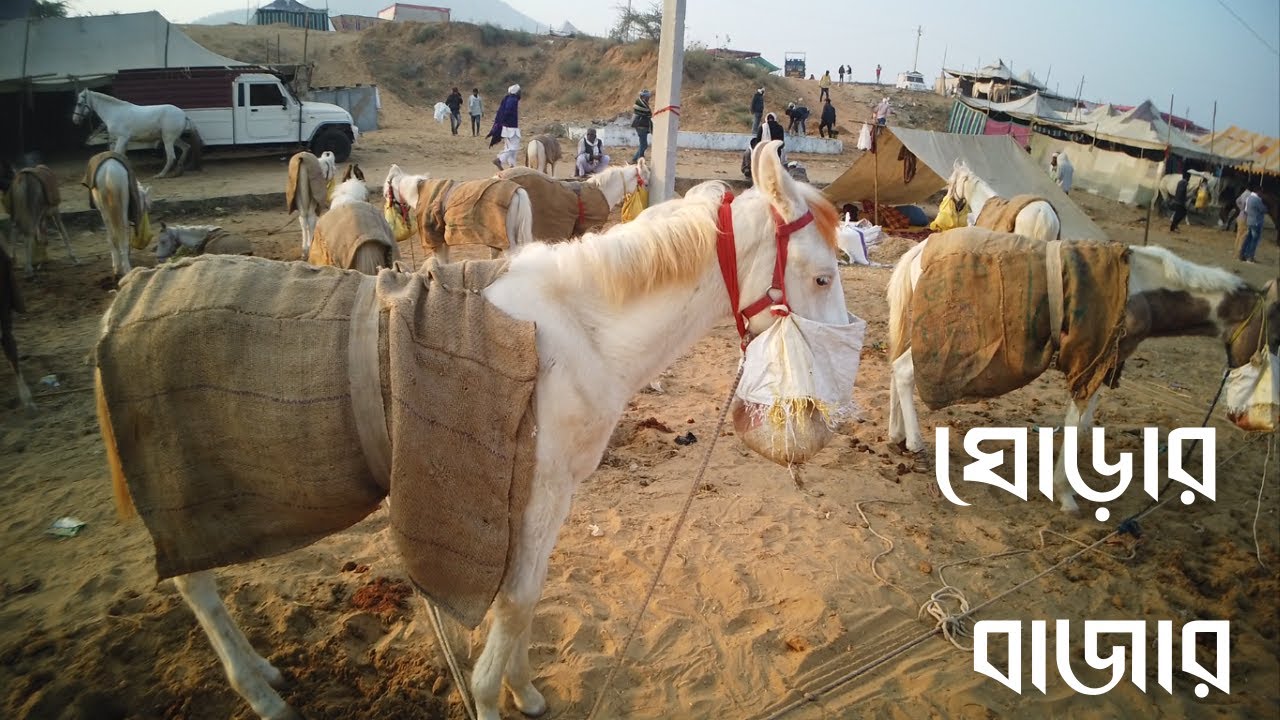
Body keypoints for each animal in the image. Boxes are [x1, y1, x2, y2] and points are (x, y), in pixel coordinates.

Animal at [72, 89, 202, 179]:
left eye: (79, 103)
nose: (75, 120)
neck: (114, 112)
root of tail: (183, 115)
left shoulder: (122, 138)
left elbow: (117, 154)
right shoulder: (123, 140)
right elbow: (123, 156)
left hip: (168, 139)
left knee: (171, 157)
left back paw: (160, 175)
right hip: (174, 138)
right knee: (186, 147)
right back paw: (178, 172)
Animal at [93, 140, 853, 720]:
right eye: (821, 277)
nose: (825, 409)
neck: (580, 330)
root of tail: (124, 305)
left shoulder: (538, 496)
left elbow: (524, 597)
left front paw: (522, 690)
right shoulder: (536, 491)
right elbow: (515, 603)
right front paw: (494, 695)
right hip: (186, 496)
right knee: (197, 588)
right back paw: (260, 693)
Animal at [887, 229, 1280, 515]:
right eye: (1270, 342)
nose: (1247, 419)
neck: (1141, 291)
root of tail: (920, 251)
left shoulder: (1104, 361)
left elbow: (1086, 418)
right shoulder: (1090, 359)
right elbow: (1078, 419)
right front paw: (1065, 494)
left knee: (895, 366)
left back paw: (897, 435)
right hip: (940, 343)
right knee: (904, 372)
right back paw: (916, 442)